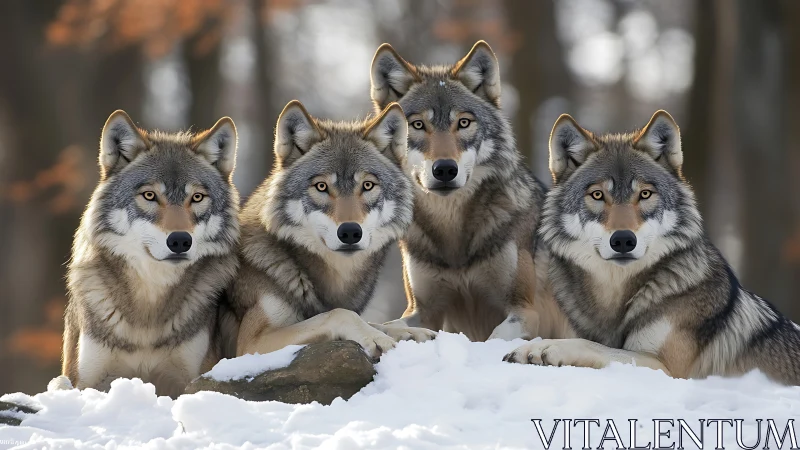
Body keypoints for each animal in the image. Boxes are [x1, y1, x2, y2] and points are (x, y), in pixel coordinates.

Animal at [59, 110, 240, 397]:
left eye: (197, 198)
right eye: (150, 195)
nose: (180, 240)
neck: (148, 311)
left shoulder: (190, 377)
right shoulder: (88, 380)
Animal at [230, 100, 436, 358]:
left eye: (367, 185)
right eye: (321, 186)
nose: (350, 232)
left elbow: (371, 320)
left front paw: (408, 331)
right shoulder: (250, 345)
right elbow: (338, 313)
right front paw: (376, 338)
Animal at [369, 41, 570, 341]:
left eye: (463, 123)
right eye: (418, 125)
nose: (444, 169)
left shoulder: (524, 310)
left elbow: (495, 338)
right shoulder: (422, 311)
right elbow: (392, 325)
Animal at [504, 110, 800, 385]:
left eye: (644, 194)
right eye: (598, 195)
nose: (623, 240)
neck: (617, 301)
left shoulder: (667, 368)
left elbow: (595, 346)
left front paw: (542, 347)